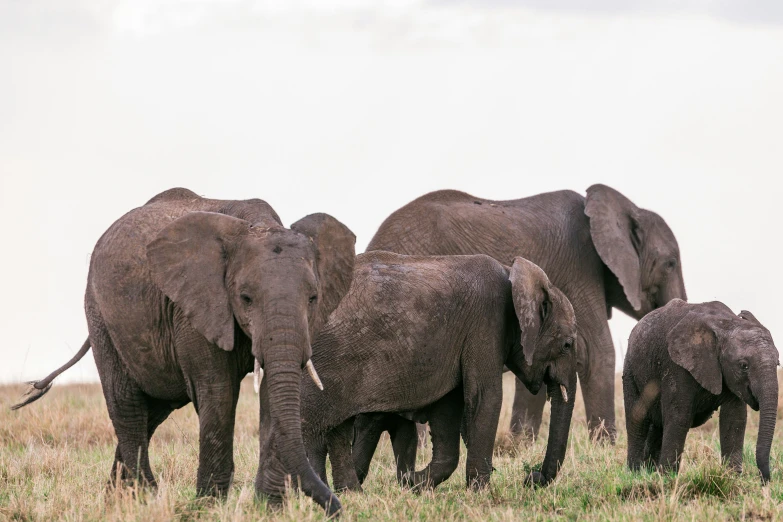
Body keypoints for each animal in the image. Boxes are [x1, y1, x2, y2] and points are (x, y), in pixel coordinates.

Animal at [11, 188, 356, 516]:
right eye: (245, 298)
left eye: (313, 298)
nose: (336, 510)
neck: (258, 225)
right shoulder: (194, 308)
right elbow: (217, 393)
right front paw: (209, 508)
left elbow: (272, 395)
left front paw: (269, 509)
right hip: (101, 316)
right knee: (128, 407)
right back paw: (146, 500)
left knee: (151, 413)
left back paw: (116, 502)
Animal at [290, 250, 580, 494]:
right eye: (567, 345)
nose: (530, 477)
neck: (513, 274)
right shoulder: (486, 322)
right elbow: (485, 397)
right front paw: (480, 494)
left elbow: (448, 407)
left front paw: (413, 483)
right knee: (316, 424)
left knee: (336, 427)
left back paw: (347, 494)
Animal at [362, 182, 688, 446]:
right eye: (670, 263)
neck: (626, 208)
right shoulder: (579, 269)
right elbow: (596, 351)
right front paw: (605, 448)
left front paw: (520, 445)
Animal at [624, 296, 776, 480]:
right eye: (744, 366)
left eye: (778, 362)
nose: (764, 481)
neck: (726, 324)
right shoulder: (676, 364)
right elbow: (679, 416)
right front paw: (667, 478)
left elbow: (735, 419)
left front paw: (731, 478)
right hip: (630, 368)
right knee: (637, 420)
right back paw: (635, 473)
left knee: (657, 425)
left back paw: (649, 472)